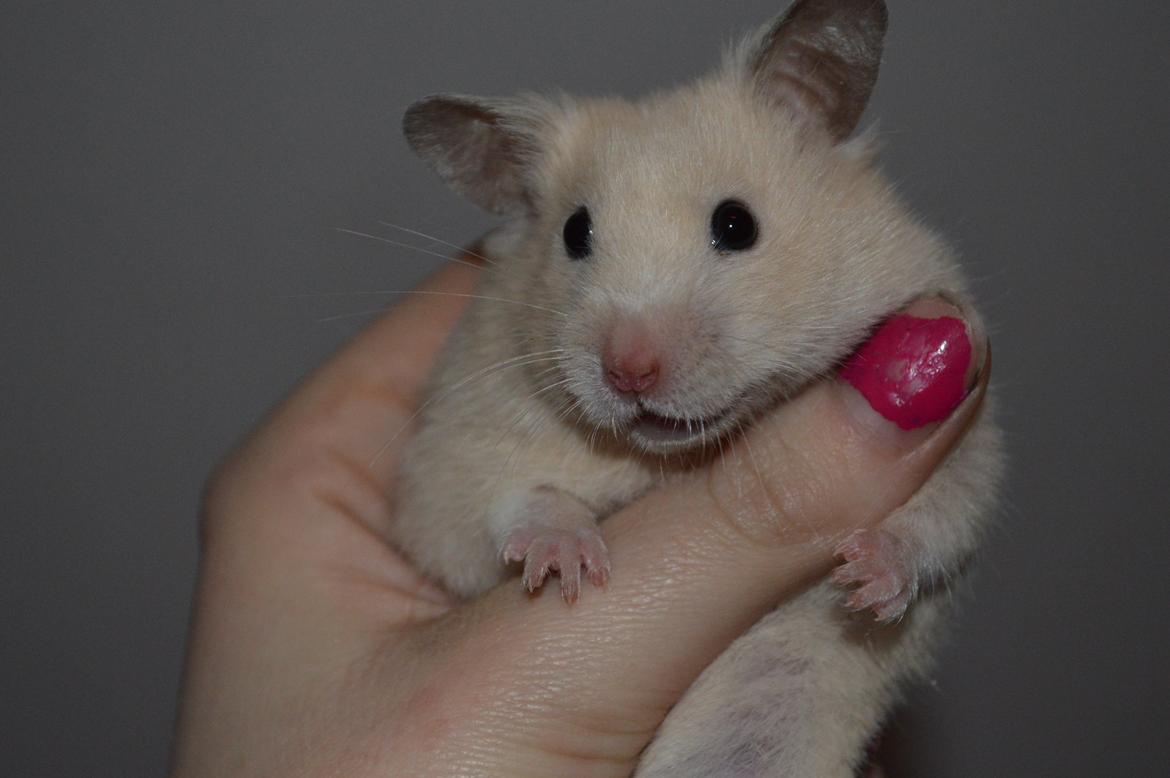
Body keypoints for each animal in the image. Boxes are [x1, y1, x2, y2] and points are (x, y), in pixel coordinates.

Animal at [391, 1, 1004, 774]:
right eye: (574, 232)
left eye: (736, 223)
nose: (629, 371)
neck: (672, 459)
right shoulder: (446, 460)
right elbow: (495, 505)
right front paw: (566, 563)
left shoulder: (969, 426)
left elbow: (943, 513)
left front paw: (865, 578)